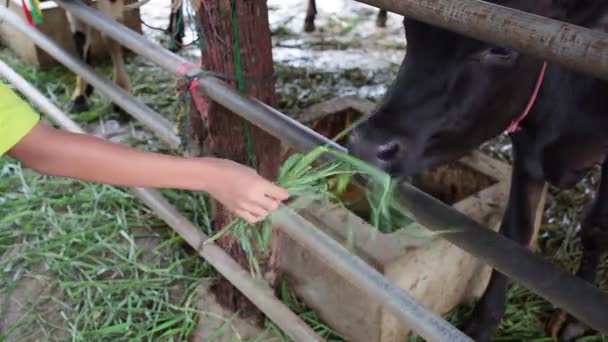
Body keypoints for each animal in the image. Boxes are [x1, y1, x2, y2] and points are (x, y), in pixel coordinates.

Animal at [346, 0, 608, 340]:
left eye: (502, 48)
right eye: (408, 24)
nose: (366, 145)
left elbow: (596, 229)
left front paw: (573, 319)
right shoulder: (526, 151)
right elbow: (513, 237)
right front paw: (483, 322)